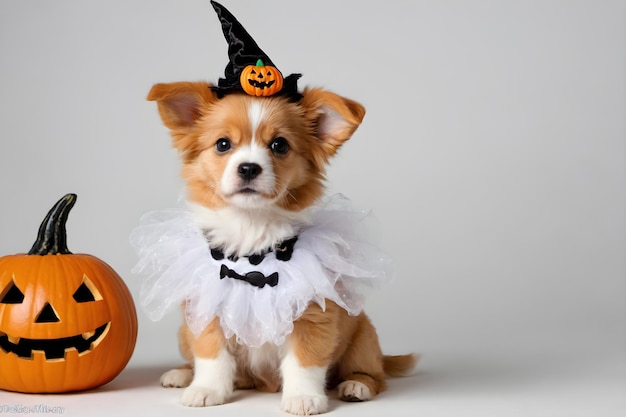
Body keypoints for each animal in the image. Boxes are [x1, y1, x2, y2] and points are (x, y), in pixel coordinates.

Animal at [144, 81, 412, 412]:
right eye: (222, 144)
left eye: (280, 145)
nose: (248, 168)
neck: (251, 234)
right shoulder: (206, 309)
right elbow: (211, 354)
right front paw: (206, 389)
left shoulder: (312, 315)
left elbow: (304, 361)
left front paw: (303, 397)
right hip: (184, 331)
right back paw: (183, 374)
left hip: (363, 337)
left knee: (374, 374)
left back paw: (356, 385)